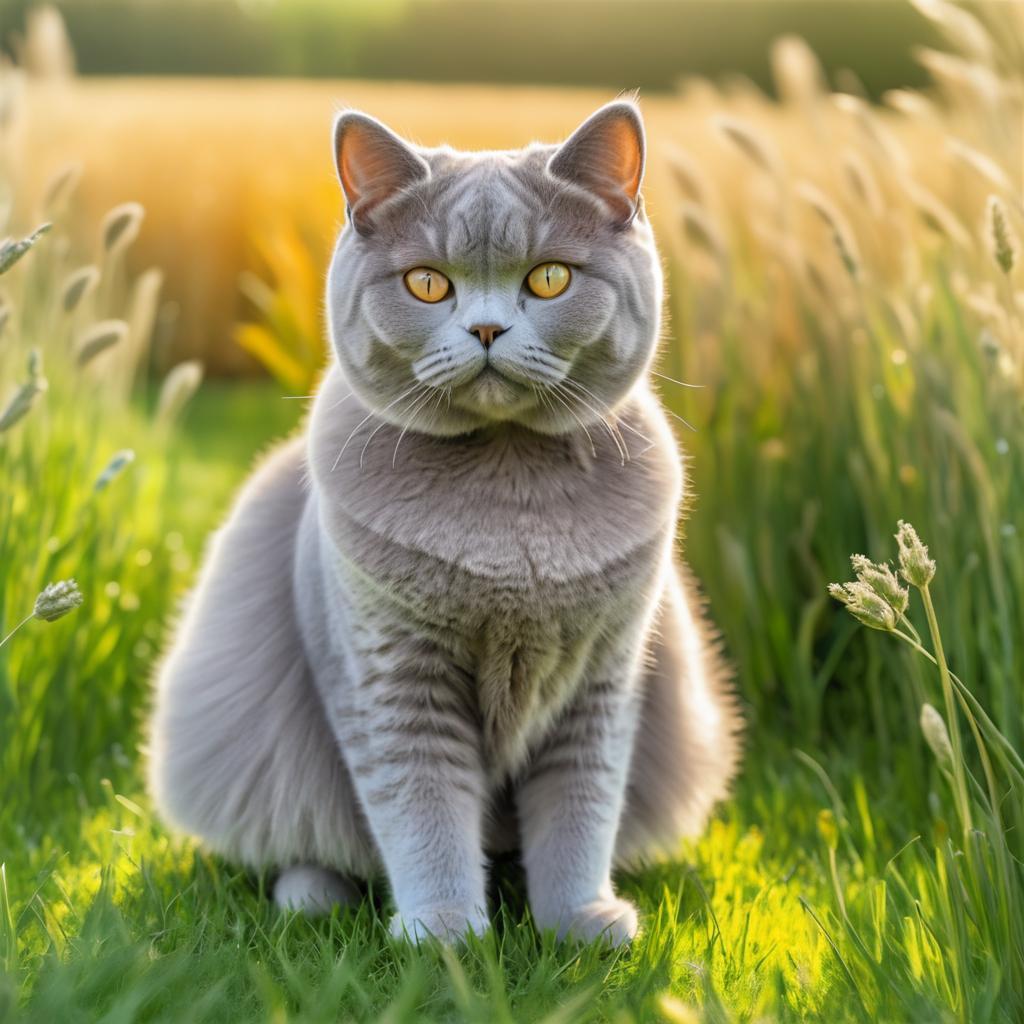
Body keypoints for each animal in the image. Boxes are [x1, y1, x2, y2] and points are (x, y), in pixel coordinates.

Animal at [148, 99, 741, 946]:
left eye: (550, 277)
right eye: (427, 283)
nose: (487, 331)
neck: (510, 510)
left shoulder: (603, 679)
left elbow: (581, 807)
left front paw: (577, 924)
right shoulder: (392, 675)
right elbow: (421, 808)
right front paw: (445, 936)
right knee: (301, 839)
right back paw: (311, 898)